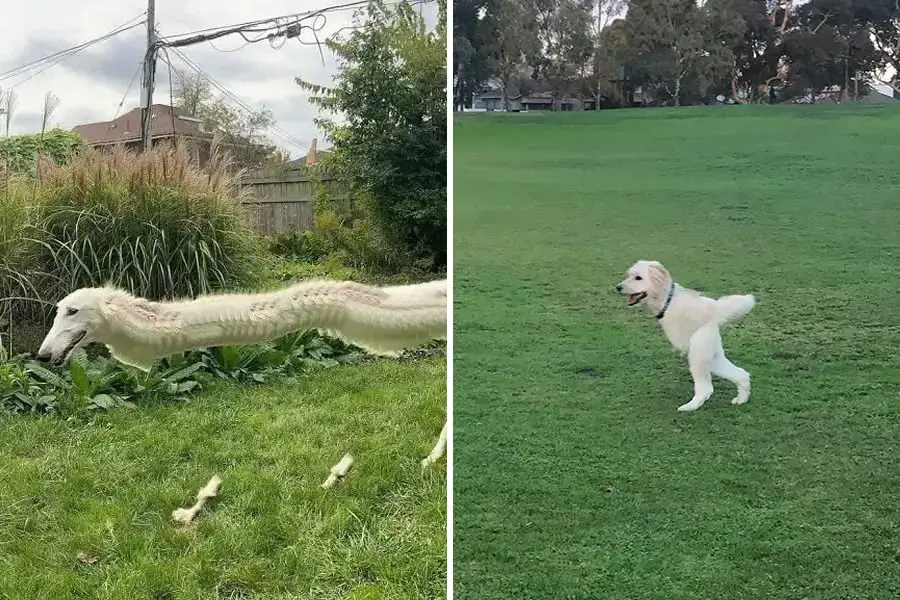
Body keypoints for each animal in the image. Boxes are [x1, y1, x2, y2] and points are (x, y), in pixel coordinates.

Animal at [616, 262, 756, 412]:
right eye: (629, 275)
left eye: (638, 278)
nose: (618, 287)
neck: (667, 299)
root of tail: (714, 313)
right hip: (713, 357)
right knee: (742, 374)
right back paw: (741, 400)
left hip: (697, 355)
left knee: (706, 388)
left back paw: (690, 406)